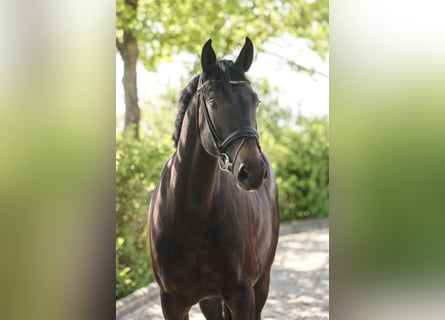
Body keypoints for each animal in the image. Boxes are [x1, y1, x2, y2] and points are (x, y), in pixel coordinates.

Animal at [149, 38, 278, 320]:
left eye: (255, 101)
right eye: (213, 101)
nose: (253, 171)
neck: (192, 214)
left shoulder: (242, 296)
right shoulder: (171, 303)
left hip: (262, 282)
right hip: (210, 300)